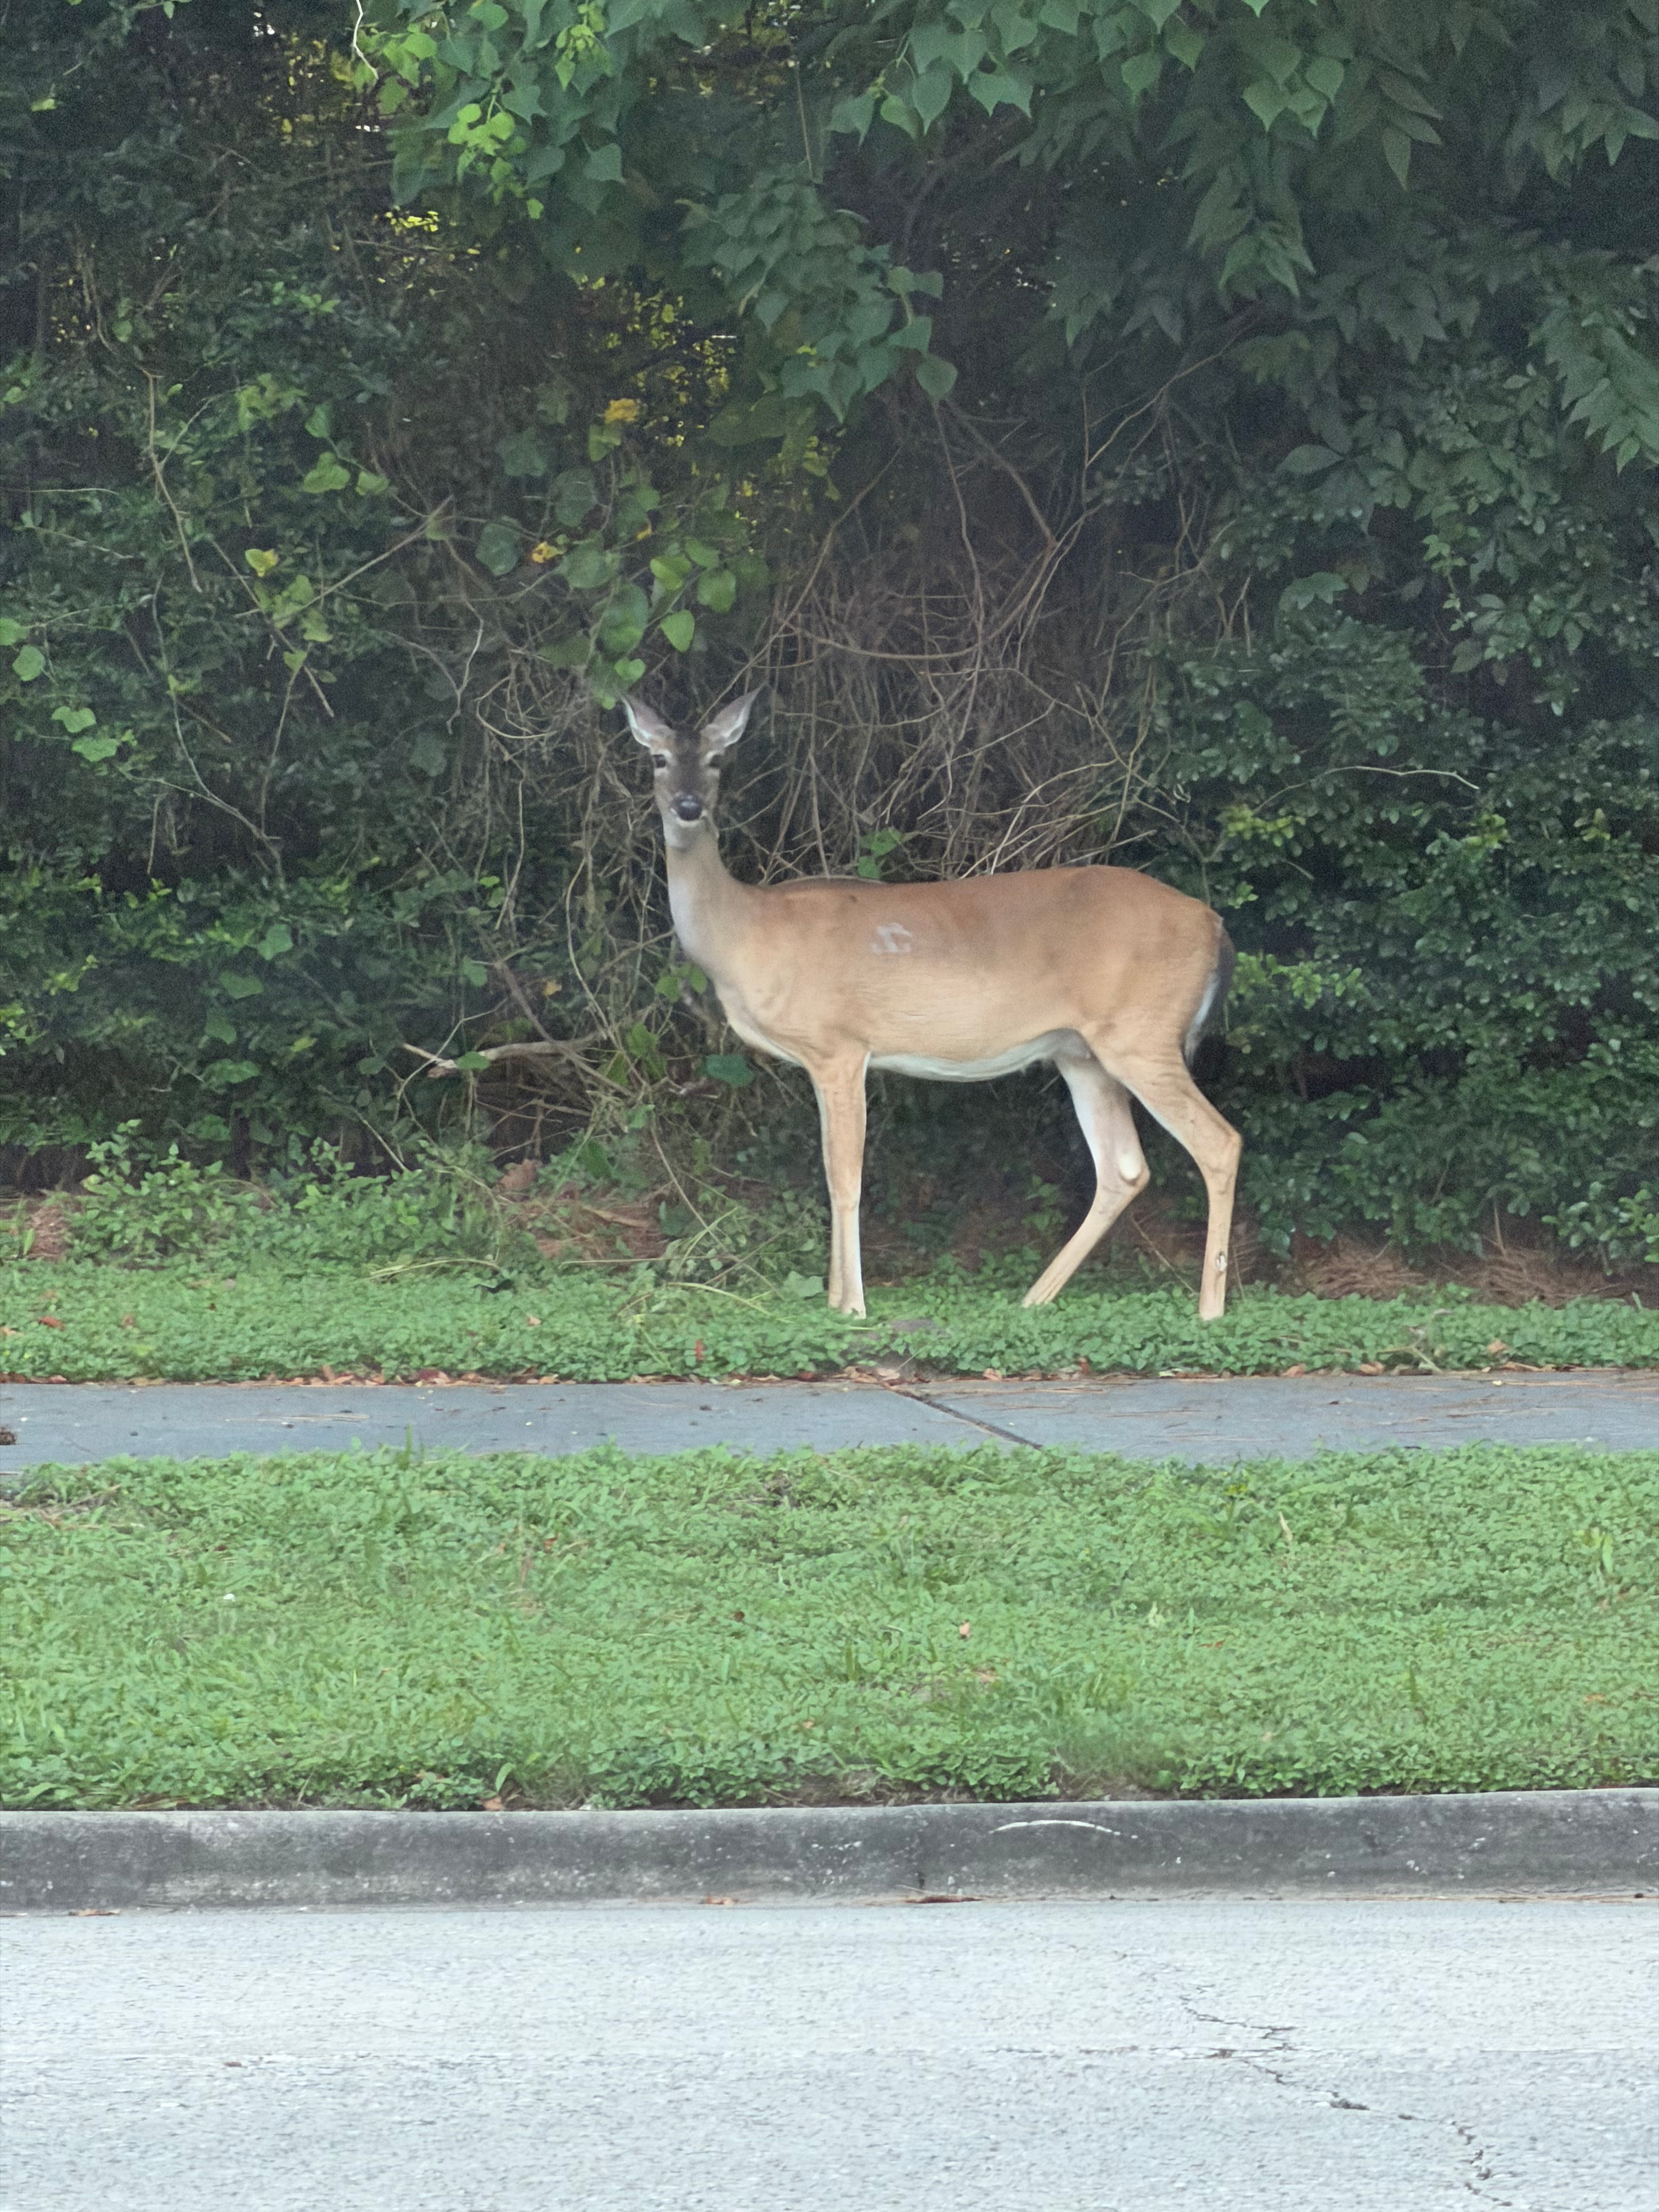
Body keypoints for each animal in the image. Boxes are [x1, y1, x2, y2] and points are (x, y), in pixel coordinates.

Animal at [623, 691, 1242, 1321]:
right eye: (658, 759)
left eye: (718, 759)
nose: (689, 806)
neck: (747, 934)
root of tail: (1215, 925)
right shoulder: (821, 1061)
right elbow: (828, 1171)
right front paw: (833, 1297)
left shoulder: (840, 1046)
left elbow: (845, 1176)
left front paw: (853, 1305)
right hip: (1084, 1053)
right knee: (1124, 1168)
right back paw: (1034, 1296)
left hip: (1142, 1035)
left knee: (1219, 1142)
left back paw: (1210, 1308)